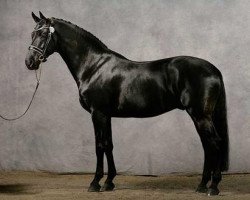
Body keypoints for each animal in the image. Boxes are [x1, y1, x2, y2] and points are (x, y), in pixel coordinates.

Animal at [24, 12, 229, 195]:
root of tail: (214, 70)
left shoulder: (98, 113)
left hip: (200, 115)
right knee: (207, 145)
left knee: (214, 143)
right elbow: (109, 144)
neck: (93, 66)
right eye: (32, 33)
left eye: (43, 34)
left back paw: (213, 187)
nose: (29, 62)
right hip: (200, 116)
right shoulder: (106, 115)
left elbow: (99, 146)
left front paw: (95, 183)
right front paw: (109, 182)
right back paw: (202, 185)